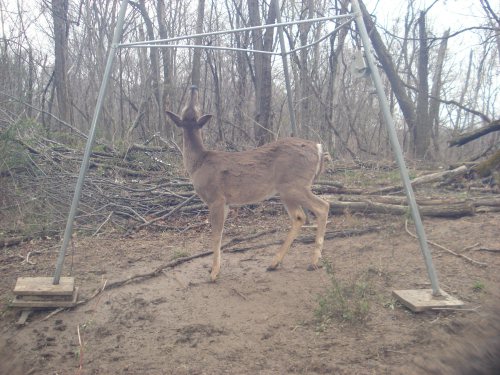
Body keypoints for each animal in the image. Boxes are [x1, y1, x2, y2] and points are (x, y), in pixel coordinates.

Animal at [168, 86, 330, 282]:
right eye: (188, 109)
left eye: (193, 108)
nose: (193, 87)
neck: (198, 163)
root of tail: (318, 148)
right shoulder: (227, 203)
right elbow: (220, 234)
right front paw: (214, 269)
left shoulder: (216, 198)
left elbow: (216, 235)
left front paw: (214, 272)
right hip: (287, 189)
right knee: (299, 216)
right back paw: (274, 263)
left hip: (294, 185)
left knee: (323, 206)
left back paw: (313, 262)